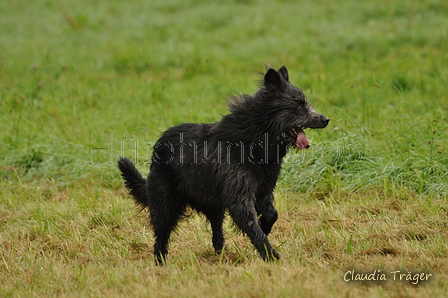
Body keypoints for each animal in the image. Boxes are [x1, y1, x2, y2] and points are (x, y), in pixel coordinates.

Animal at [118, 66, 328, 264]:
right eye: (298, 106)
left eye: (305, 103)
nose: (326, 119)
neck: (251, 140)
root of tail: (159, 144)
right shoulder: (239, 198)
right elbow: (253, 227)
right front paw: (269, 254)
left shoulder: (262, 190)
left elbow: (271, 213)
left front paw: (265, 227)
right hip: (166, 204)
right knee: (161, 237)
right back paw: (160, 263)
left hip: (214, 205)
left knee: (217, 235)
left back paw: (222, 257)